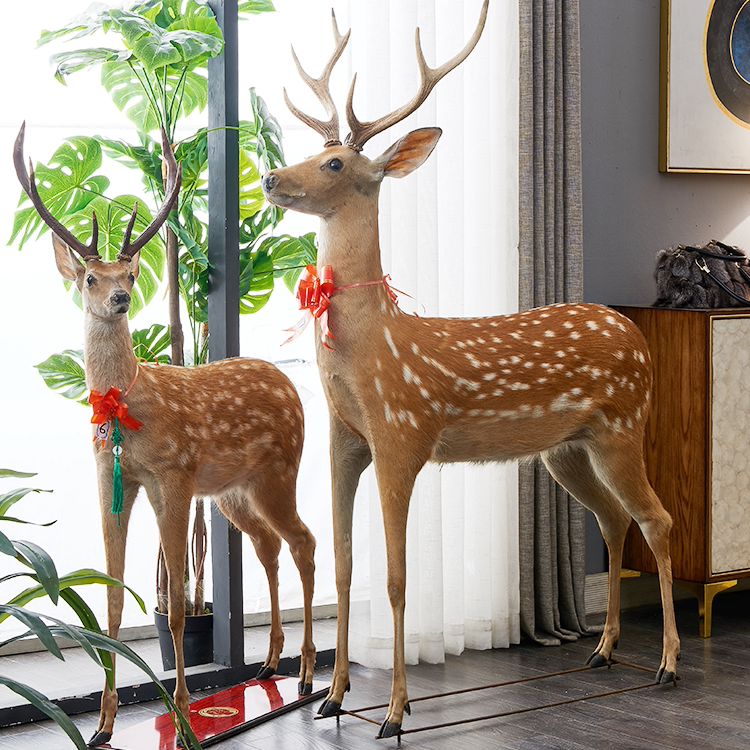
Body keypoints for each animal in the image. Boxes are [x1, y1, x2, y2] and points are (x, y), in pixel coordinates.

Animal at [13, 123, 317, 747]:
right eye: (89, 277)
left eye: (130, 273)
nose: (120, 296)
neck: (125, 415)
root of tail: (290, 384)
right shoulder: (110, 479)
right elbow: (109, 600)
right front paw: (103, 725)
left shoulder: (173, 476)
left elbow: (176, 602)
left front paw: (182, 716)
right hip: (231, 493)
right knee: (270, 545)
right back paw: (269, 666)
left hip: (281, 469)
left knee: (305, 540)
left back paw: (306, 676)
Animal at [261, 0, 679, 739]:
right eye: (312, 151)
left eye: (335, 161)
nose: (272, 177)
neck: (374, 353)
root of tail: (634, 332)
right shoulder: (344, 441)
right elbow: (344, 569)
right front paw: (334, 699)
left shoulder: (403, 435)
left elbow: (396, 579)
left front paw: (395, 712)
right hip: (566, 449)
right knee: (613, 520)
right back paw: (602, 651)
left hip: (624, 423)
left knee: (657, 521)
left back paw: (666, 666)